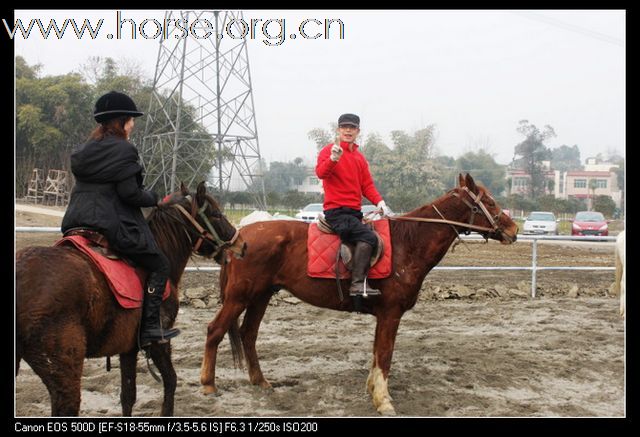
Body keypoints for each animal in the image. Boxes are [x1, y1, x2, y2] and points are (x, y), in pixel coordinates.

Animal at [16, 181, 248, 416]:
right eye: (216, 214)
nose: (242, 244)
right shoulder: (159, 342)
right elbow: (171, 381)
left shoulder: (127, 347)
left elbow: (128, 395)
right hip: (64, 369)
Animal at [200, 172, 520, 414]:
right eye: (487, 201)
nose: (514, 229)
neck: (407, 243)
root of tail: (240, 236)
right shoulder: (391, 314)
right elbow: (385, 355)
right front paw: (384, 400)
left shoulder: (385, 316)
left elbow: (378, 352)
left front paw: (373, 389)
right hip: (239, 297)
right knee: (215, 330)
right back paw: (208, 384)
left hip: (261, 296)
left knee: (248, 334)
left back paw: (260, 381)